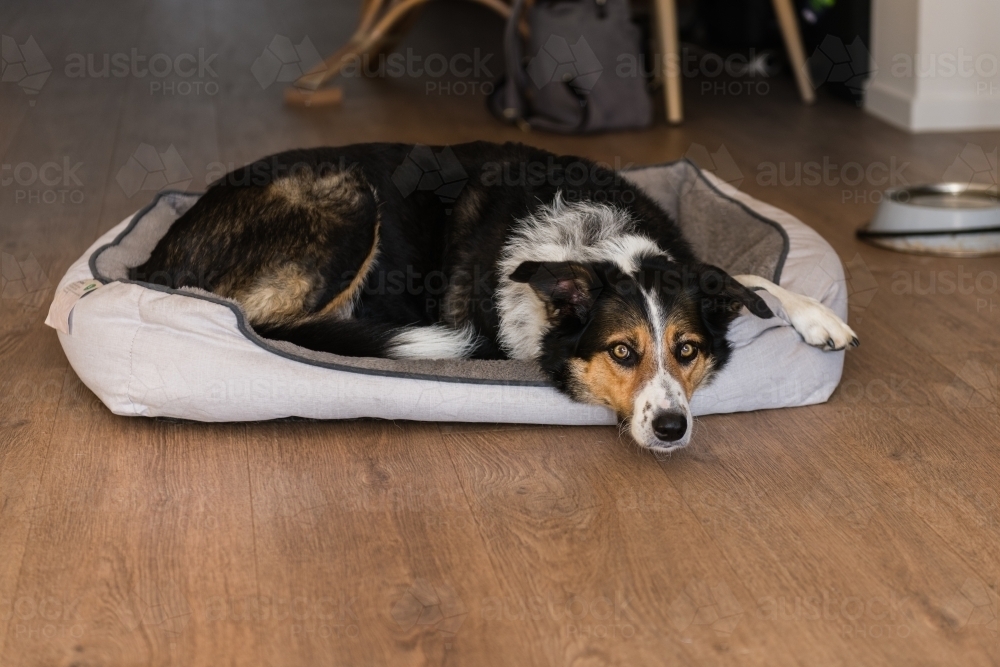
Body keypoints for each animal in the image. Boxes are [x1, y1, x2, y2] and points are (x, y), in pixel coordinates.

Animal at [129, 142, 856, 454]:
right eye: (622, 352)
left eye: (688, 350)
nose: (672, 428)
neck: (591, 243)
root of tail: (156, 259)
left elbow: (747, 277)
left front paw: (817, 315)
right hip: (347, 196)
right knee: (273, 320)